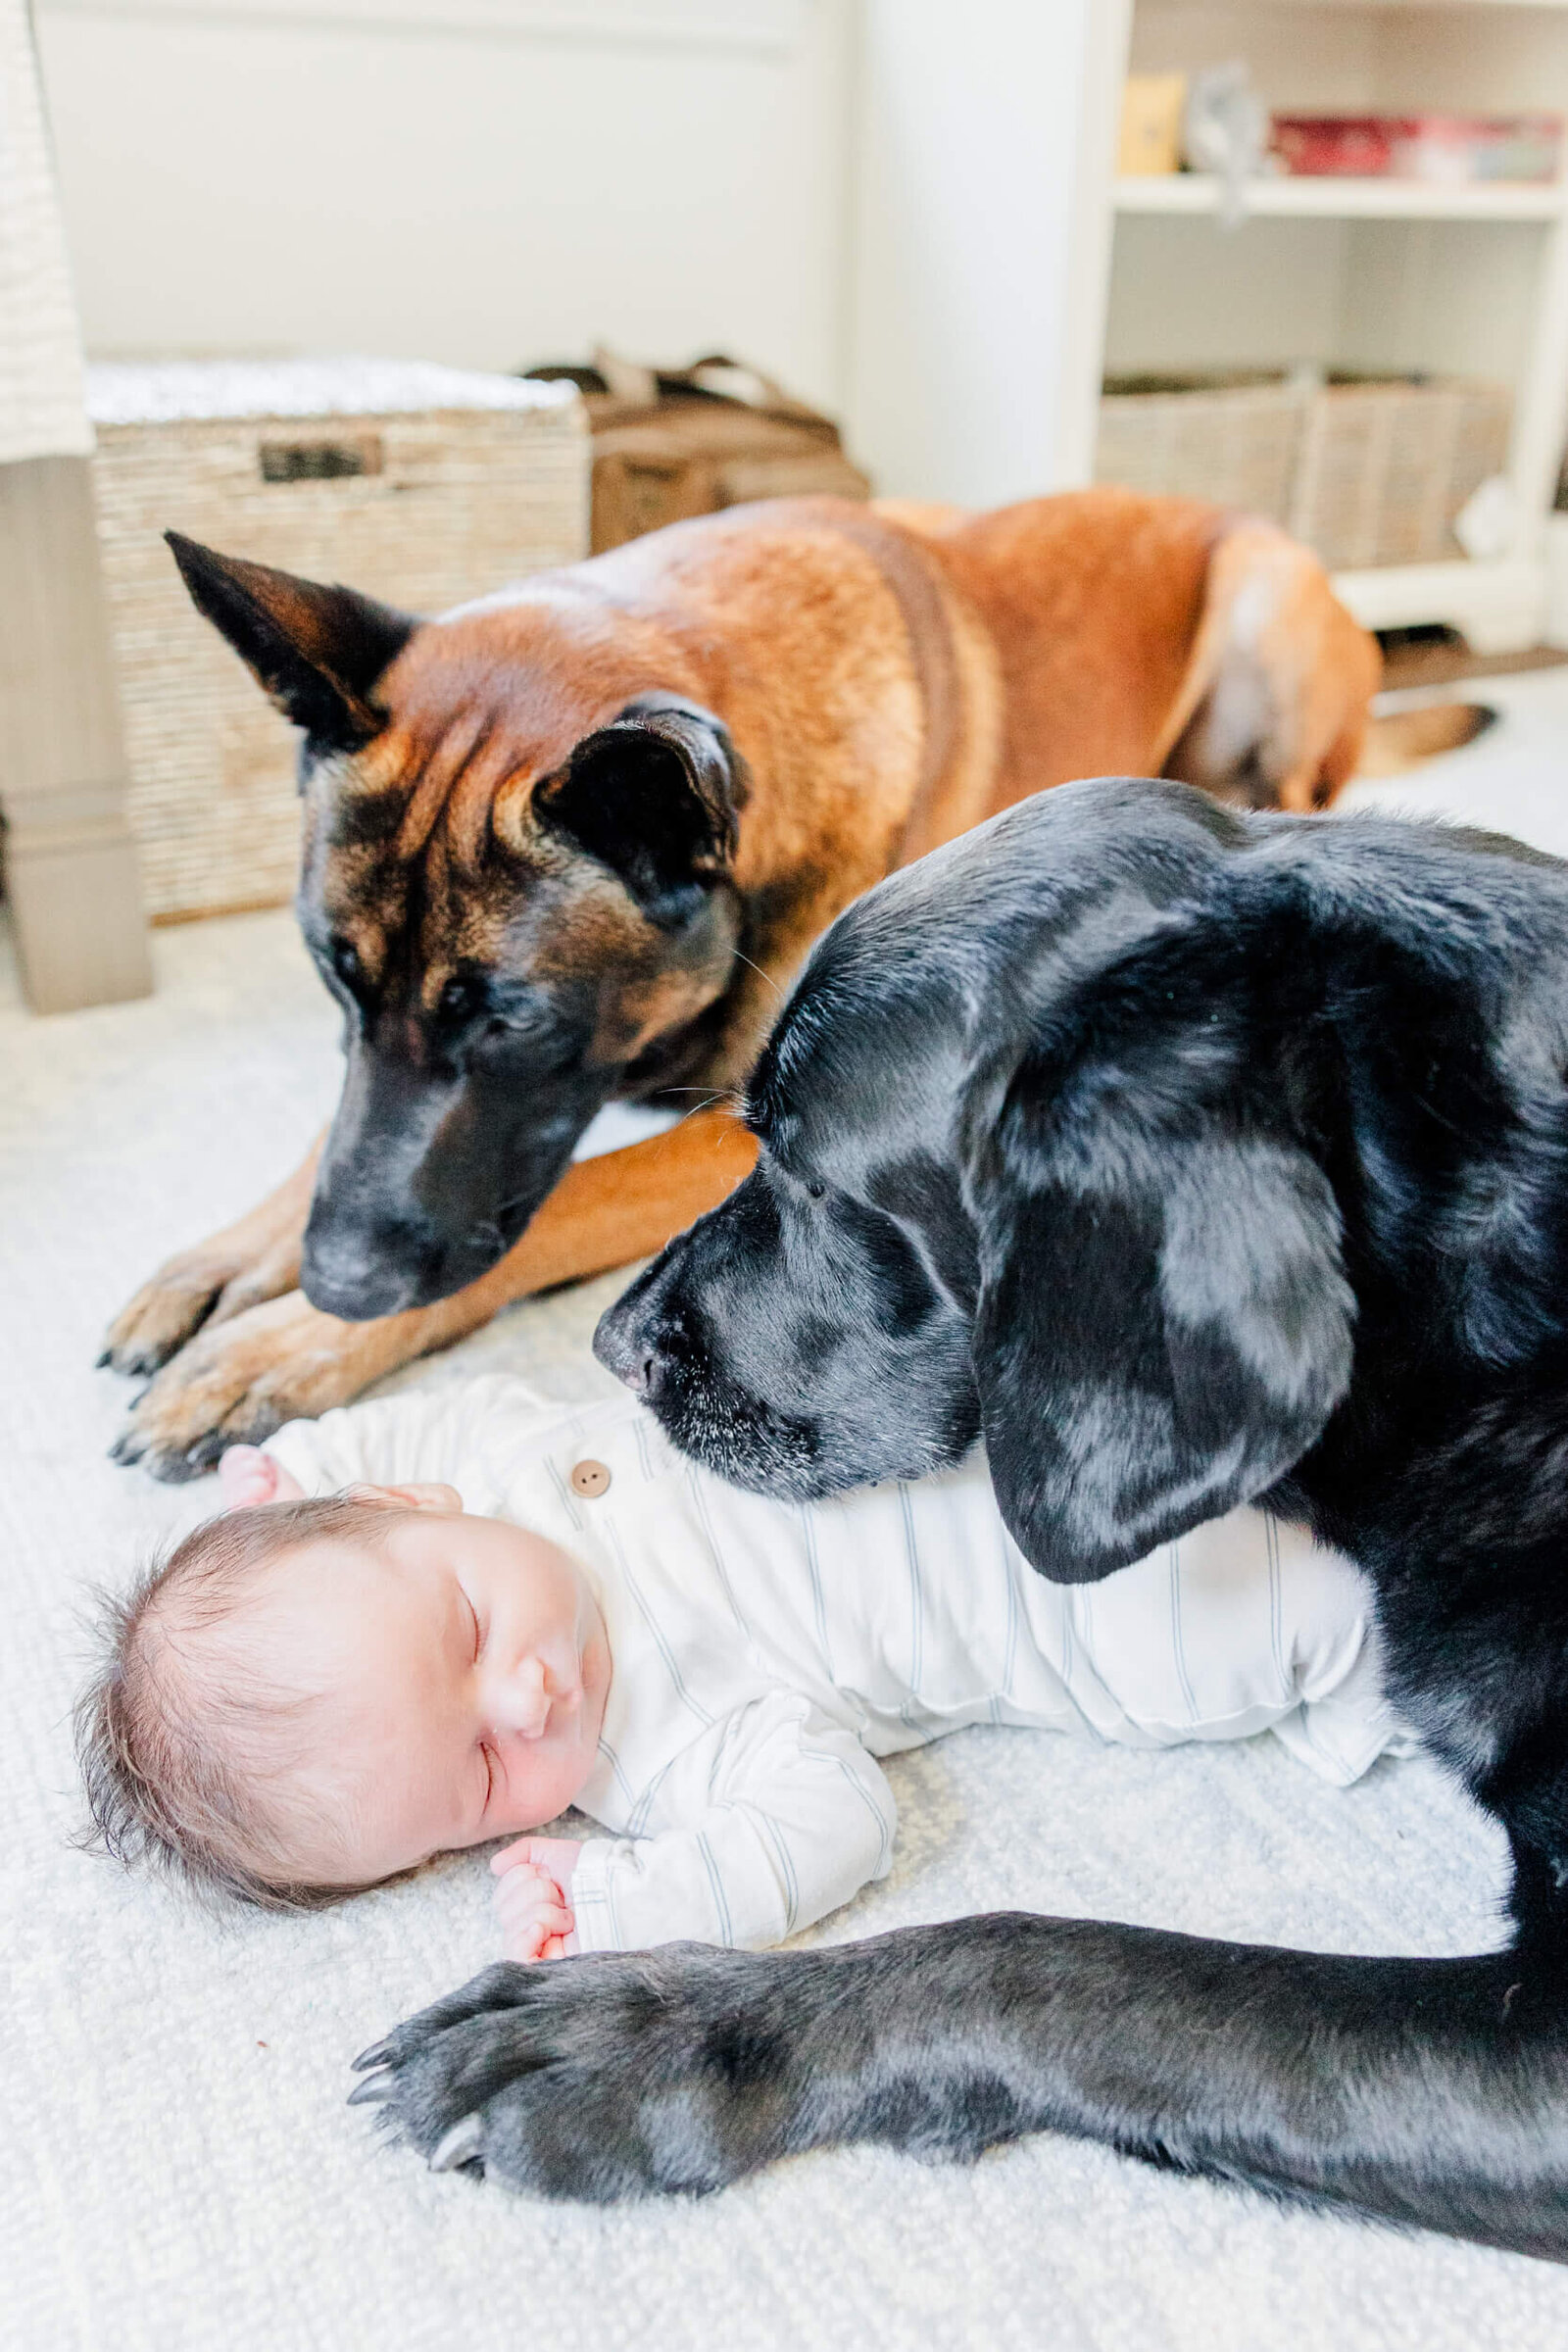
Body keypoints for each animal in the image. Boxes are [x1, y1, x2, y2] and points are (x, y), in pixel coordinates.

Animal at [104, 484, 1372, 1467]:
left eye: (512, 1023)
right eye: (335, 978)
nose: (341, 1286)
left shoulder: (751, 1134)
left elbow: (557, 1205)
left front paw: (289, 1343)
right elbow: (336, 1135)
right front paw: (227, 1261)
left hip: (1265, 600)